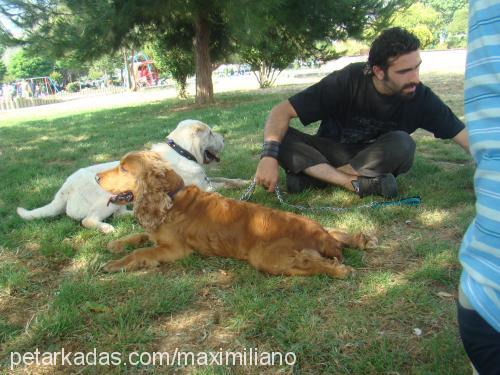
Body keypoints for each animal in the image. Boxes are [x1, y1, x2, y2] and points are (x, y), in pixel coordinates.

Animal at [17, 119, 250, 232]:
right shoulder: (201, 187)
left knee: (123, 213)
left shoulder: (206, 181)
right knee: (88, 221)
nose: (224, 138)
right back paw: (106, 228)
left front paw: (246, 181)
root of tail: (64, 189)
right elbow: (222, 189)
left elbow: (229, 180)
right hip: (104, 198)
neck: (181, 150)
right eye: (210, 133)